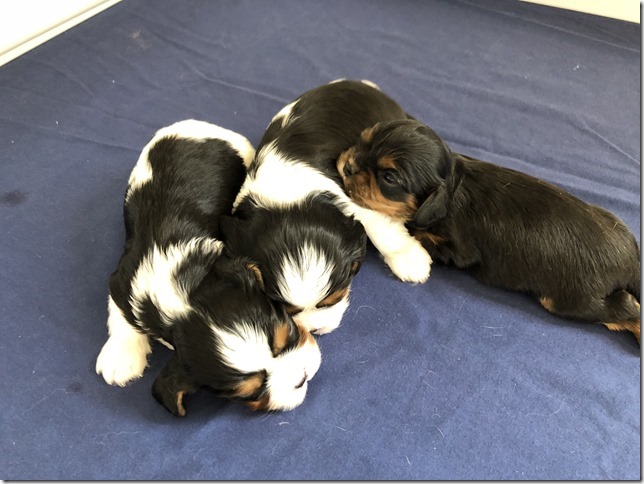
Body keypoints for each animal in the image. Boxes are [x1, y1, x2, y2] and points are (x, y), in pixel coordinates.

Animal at [95, 120, 322, 416]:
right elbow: (120, 310)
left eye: (288, 334)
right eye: (250, 392)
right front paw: (121, 357)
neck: (182, 298)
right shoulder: (123, 279)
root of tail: (194, 124)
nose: (301, 377)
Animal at [221, 80, 432, 336]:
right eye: (286, 310)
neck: (288, 198)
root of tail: (364, 84)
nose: (314, 329)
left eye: (333, 299)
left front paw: (410, 261)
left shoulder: (352, 197)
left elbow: (378, 227)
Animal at [340, 118, 640, 342]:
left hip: (568, 298)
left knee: (624, 309)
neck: (453, 186)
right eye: (364, 138)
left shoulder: (459, 250)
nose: (347, 166)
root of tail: (632, 261)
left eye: (389, 177)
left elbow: (417, 230)